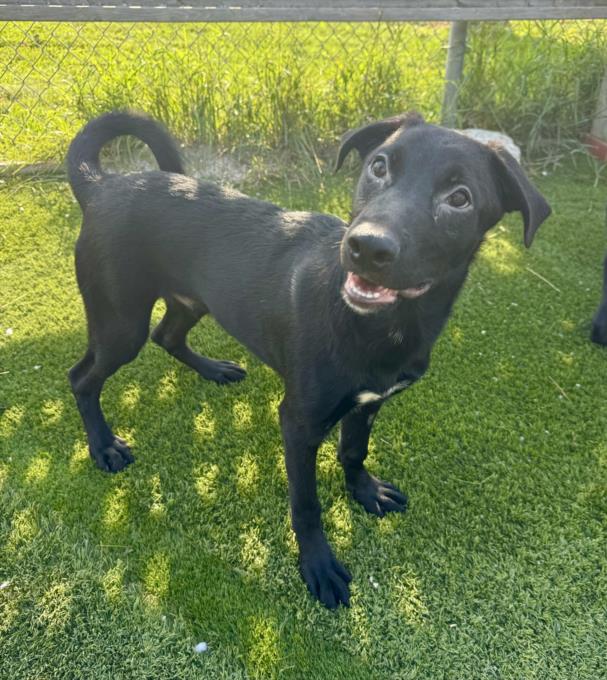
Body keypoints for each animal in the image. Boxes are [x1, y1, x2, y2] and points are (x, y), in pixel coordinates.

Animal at [66, 110, 552, 604]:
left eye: (460, 199)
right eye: (379, 166)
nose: (366, 247)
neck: (382, 323)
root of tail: (102, 185)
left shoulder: (369, 403)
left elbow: (354, 450)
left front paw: (365, 490)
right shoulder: (298, 424)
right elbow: (307, 503)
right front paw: (317, 564)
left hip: (193, 299)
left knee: (167, 335)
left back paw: (213, 369)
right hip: (120, 323)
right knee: (81, 377)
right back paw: (103, 446)